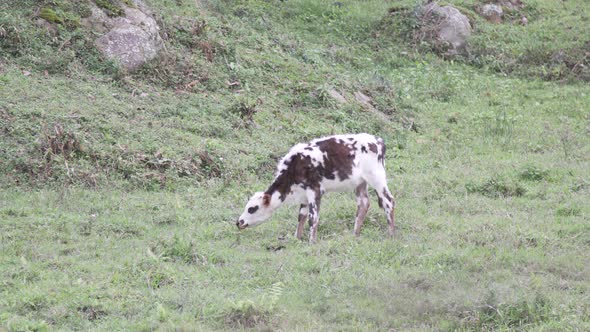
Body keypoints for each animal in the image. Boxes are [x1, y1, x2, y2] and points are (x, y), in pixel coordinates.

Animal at [237, 134, 398, 243]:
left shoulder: (315, 190)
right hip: (360, 183)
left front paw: (311, 242)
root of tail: (378, 140)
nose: (239, 222)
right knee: (364, 203)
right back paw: (355, 234)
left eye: (252, 208)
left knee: (388, 200)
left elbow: (312, 218)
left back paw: (391, 234)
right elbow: (301, 216)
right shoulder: (303, 194)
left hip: (376, 177)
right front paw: (297, 238)